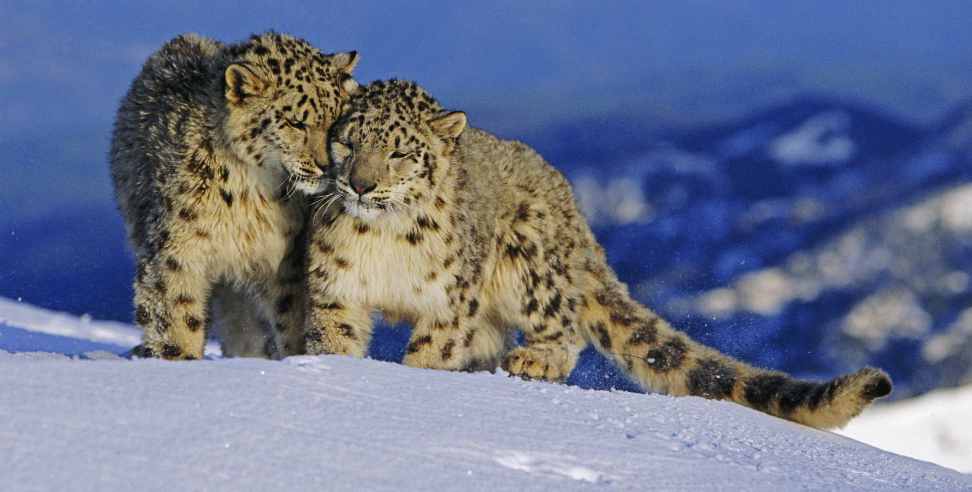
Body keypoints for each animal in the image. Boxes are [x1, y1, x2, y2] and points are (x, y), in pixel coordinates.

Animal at [111, 32, 360, 360]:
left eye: (337, 121)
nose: (327, 165)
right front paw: (180, 357)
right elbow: (176, 310)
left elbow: (291, 318)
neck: (252, 193)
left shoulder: (284, 260)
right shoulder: (177, 249)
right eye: (296, 122)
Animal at [302, 79, 888, 428]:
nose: (359, 184)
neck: (383, 240)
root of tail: (571, 204)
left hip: (532, 261)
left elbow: (432, 353)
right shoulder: (335, 289)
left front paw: (420, 381)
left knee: (563, 328)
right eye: (348, 142)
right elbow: (334, 340)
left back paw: (535, 359)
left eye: (400, 152)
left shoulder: (449, 304)